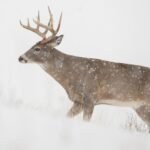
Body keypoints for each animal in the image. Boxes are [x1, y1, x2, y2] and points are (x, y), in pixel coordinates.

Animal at [18, 6, 150, 129]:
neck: (71, 75)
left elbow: (85, 121)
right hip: (141, 108)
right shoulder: (78, 101)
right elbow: (66, 116)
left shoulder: (90, 97)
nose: (20, 57)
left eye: (37, 49)